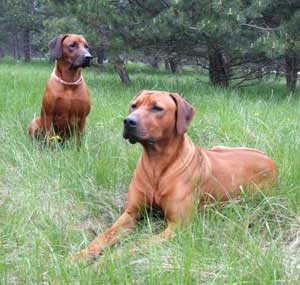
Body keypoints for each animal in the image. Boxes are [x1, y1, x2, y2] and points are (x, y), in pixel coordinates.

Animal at [71, 90, 278, 260]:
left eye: (157, 108)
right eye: (134, 105)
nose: (128, 121)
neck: (156, 163)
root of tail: (271, 161)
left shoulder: (178, 226)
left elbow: (136, 245)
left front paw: (107, 262)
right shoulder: (131, 213)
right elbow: (103, 236)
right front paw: (79, 257)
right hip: (219, 148)